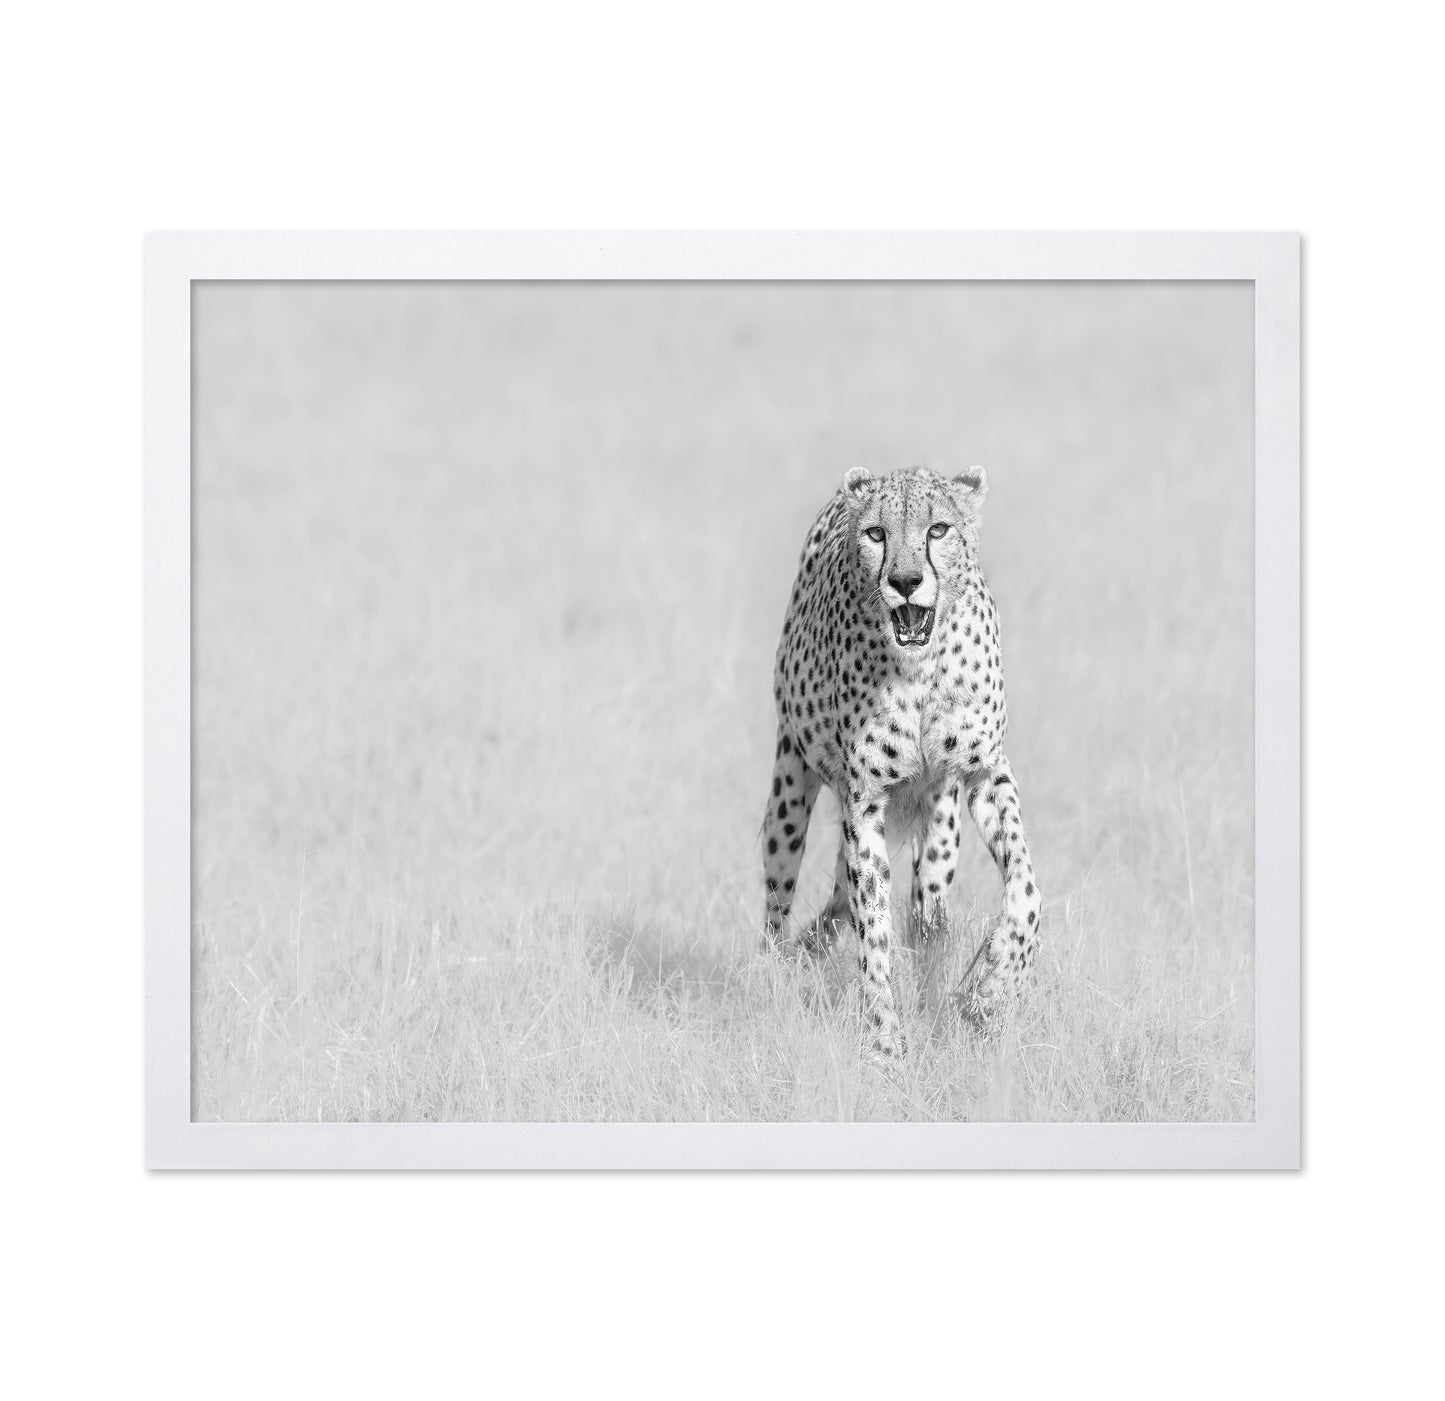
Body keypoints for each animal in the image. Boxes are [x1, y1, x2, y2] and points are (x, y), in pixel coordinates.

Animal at [761, 465, 1042, 1057]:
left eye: (938, 529)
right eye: (876, 534)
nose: (907, 581)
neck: (919, 667)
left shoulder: (985, 772)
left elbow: (1027, 890)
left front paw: (991, 987)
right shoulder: (864, 800)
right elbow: (873, 928)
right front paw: (885, 1044)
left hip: (941, 831)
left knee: (924, 916)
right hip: (789, 791)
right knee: (778, 905)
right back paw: (773, 977)